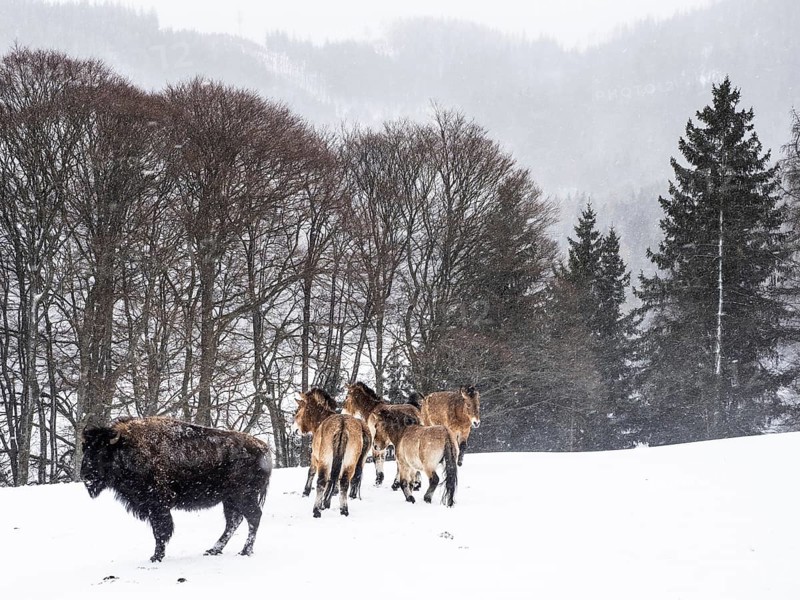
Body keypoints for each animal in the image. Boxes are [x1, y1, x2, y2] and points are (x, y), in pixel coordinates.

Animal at [81, 416, 272, 562]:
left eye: (102, 451)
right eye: (85, 449)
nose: (85, 475)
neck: (128, 446)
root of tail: (264, 449)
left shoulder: (157, 505)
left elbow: (160, 530)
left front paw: (156, 557)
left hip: (243, 496)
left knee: (253, 517)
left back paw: (245, 551)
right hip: (229, 499)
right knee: (234, 521)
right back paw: (213, 550)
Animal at [291, 387, 371, 518]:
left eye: (298, 411)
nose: (293, 429)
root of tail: (342, 425)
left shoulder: (315, 457)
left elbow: (312, 472)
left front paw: (306, 492)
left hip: (326, 460)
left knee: (322, 482)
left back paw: (316, 510)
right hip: (351, 462)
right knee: (346, 481)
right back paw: (344, 508)